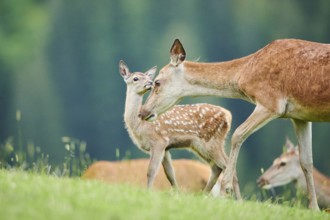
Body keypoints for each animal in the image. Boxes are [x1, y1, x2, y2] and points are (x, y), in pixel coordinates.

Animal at [118, 60, 240, 199]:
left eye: (148, 77)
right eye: (135, 78)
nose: (149, 83)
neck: (139, 125)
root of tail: (228, 115)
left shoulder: (159, 141)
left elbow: (151, 171)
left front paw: (148, 193)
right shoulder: (165, 147)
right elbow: (170, 174)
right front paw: (177, 194)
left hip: (212, 141)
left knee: (229, 168)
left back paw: (238, 200)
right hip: (200, 145)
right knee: (217, 168)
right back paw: (204, 195)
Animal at [139, 39, 330, 210]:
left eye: (157, 82)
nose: (142, 112)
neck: (244, 77)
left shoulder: (272, 102)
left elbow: (238, 134)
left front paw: (225, 191)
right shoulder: (300, 116)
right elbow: (306, 161)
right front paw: (314, 209)